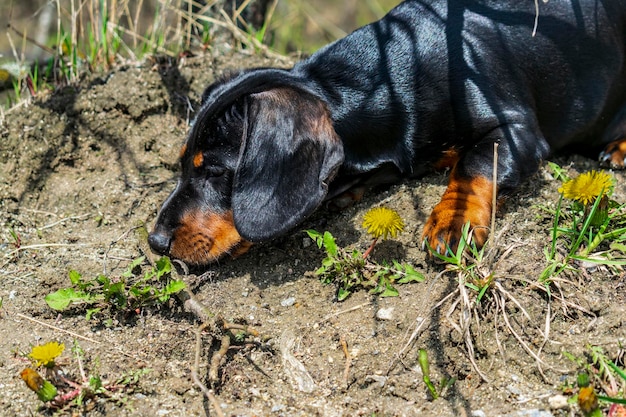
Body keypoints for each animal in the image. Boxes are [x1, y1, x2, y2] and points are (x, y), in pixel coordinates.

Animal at [147, 0, 624, 264]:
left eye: (215, 172)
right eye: (184, 166)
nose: (154, 242)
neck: (391, 79)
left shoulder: (516, 129)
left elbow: (472, 164)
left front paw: (453, 221)